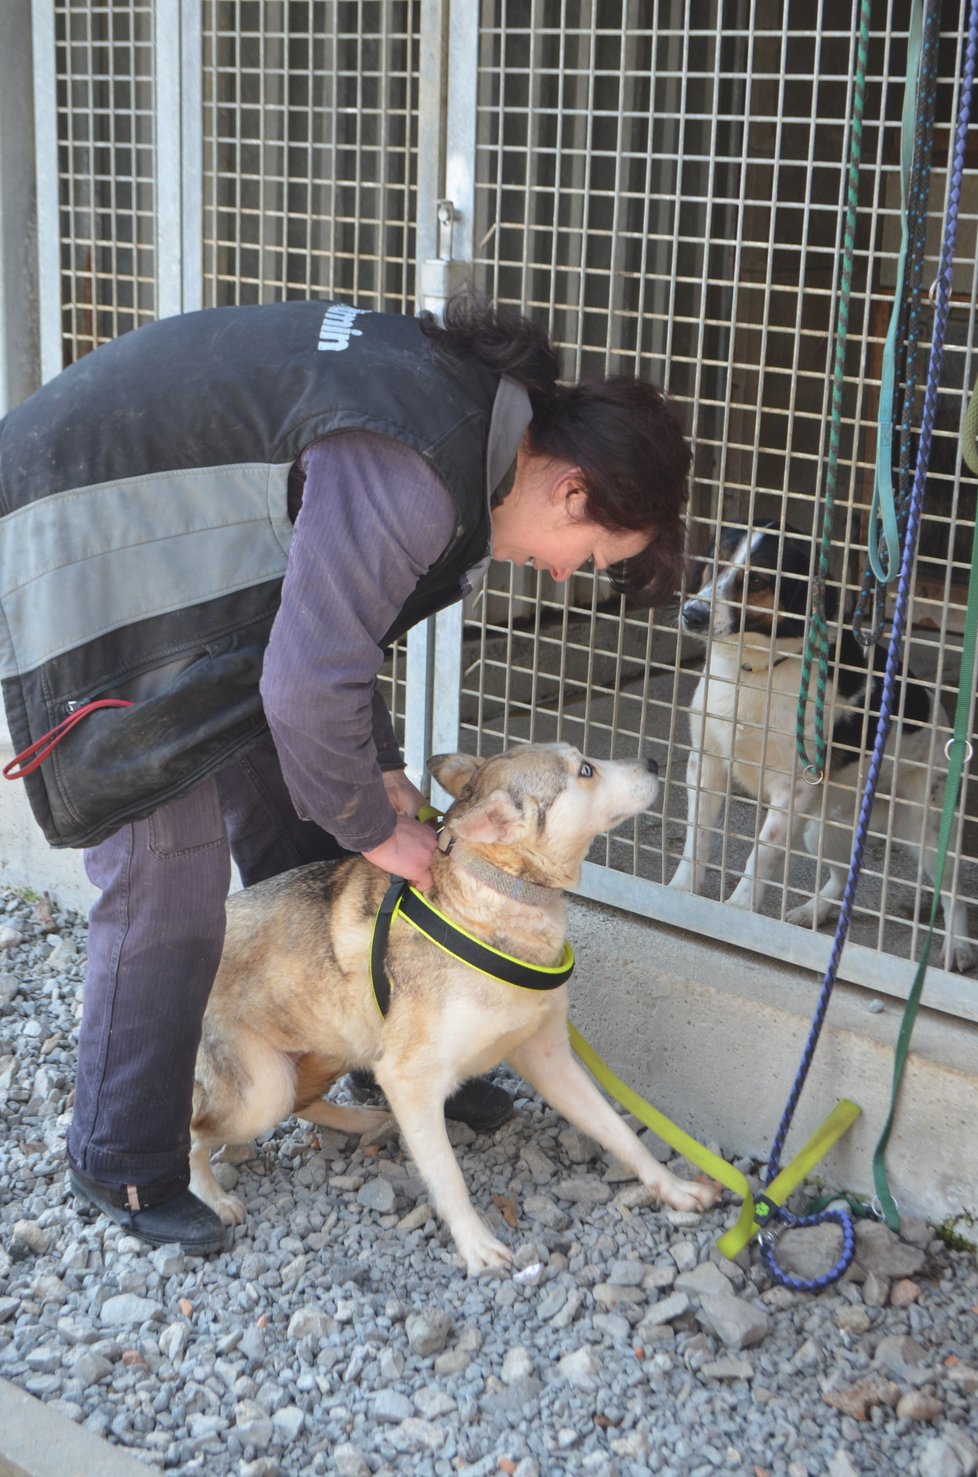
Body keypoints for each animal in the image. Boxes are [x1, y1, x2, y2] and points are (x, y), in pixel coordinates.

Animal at [189, 744, 720, 1276]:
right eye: (586, 770)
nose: (654, 762)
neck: (497, 897)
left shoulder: (549, 1057)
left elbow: (621, 1134)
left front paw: (673, 1188)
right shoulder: (409, 1080)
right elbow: (448, 1177)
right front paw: (475, 1244)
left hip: (336, 1048)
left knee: (300, 1101)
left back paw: (360, 1121)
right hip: (262, 1091)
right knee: (198, 1133)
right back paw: (212, 1198)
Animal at [670, 519, 975, 968]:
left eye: (758, 580)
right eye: (715, 563)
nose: (692, 614)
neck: (755, 670)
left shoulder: (793, 790)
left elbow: (760, 854)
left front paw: (739, 912)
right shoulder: (705, 766)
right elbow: (697, 840)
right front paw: (678, 895)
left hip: (928, 830)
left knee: (954, 892)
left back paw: (957, 946)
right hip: (821, 828)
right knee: (847, 875)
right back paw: (814, 910)